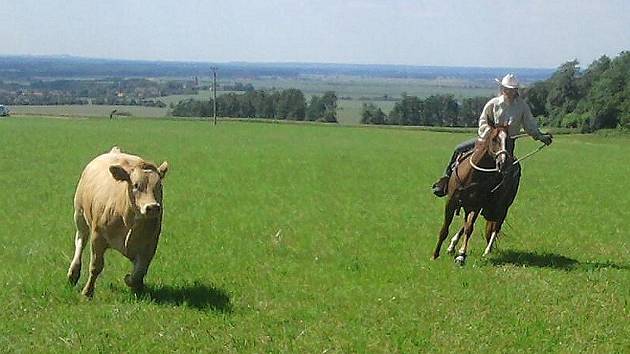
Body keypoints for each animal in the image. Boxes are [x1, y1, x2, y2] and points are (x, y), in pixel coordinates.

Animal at [68, 145, 169, 298]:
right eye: (136, 185)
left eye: (159, 186)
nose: (152, 207)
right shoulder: (98, 237)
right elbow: (96, 266)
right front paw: (87, 292)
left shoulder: (149, 244)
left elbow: (139, 271)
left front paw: (133, 283)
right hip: (80, 215)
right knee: (80, 241)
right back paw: (73, 273)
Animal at [432, 123, 520, 264]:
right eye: (494, 139)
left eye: (510, 141)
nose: (503, 163)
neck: (471, 175)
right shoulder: (452, 202)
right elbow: (446, 228)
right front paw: (435, 255)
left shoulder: (476, 205)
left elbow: (469, 229)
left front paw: (462, 255)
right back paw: (452, 246)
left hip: (502, 207)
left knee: (496, 227)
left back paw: (487, 251)